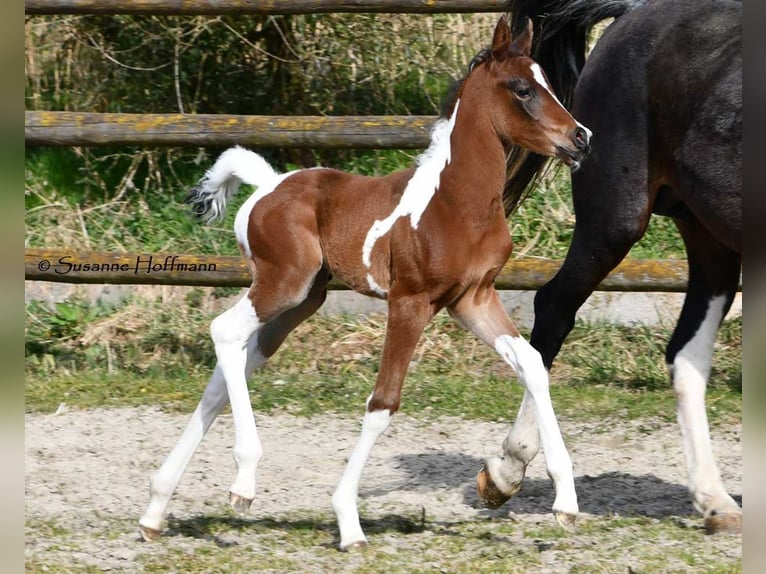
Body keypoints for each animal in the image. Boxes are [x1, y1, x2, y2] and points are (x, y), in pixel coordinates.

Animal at [137, 17, 591, 551]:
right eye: (522, 89)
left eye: (549, 84)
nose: (581, 138)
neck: (456, 203)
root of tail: (268, 184)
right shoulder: (410, 302)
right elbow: (382, 404)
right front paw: (348, 521)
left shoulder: (472, 299)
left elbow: (533, 364)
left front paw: (565, 503)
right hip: (283, 284)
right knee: (224, 332)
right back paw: (243, 482)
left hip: (303, 301)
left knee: (227, 375)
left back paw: (156, 508)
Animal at [474, 0, 742, 535]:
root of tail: (632, 13)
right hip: (614, 219)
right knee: (553, 310)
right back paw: (508, 469)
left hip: (713, 238)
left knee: (685, 355)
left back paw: (716, 502)